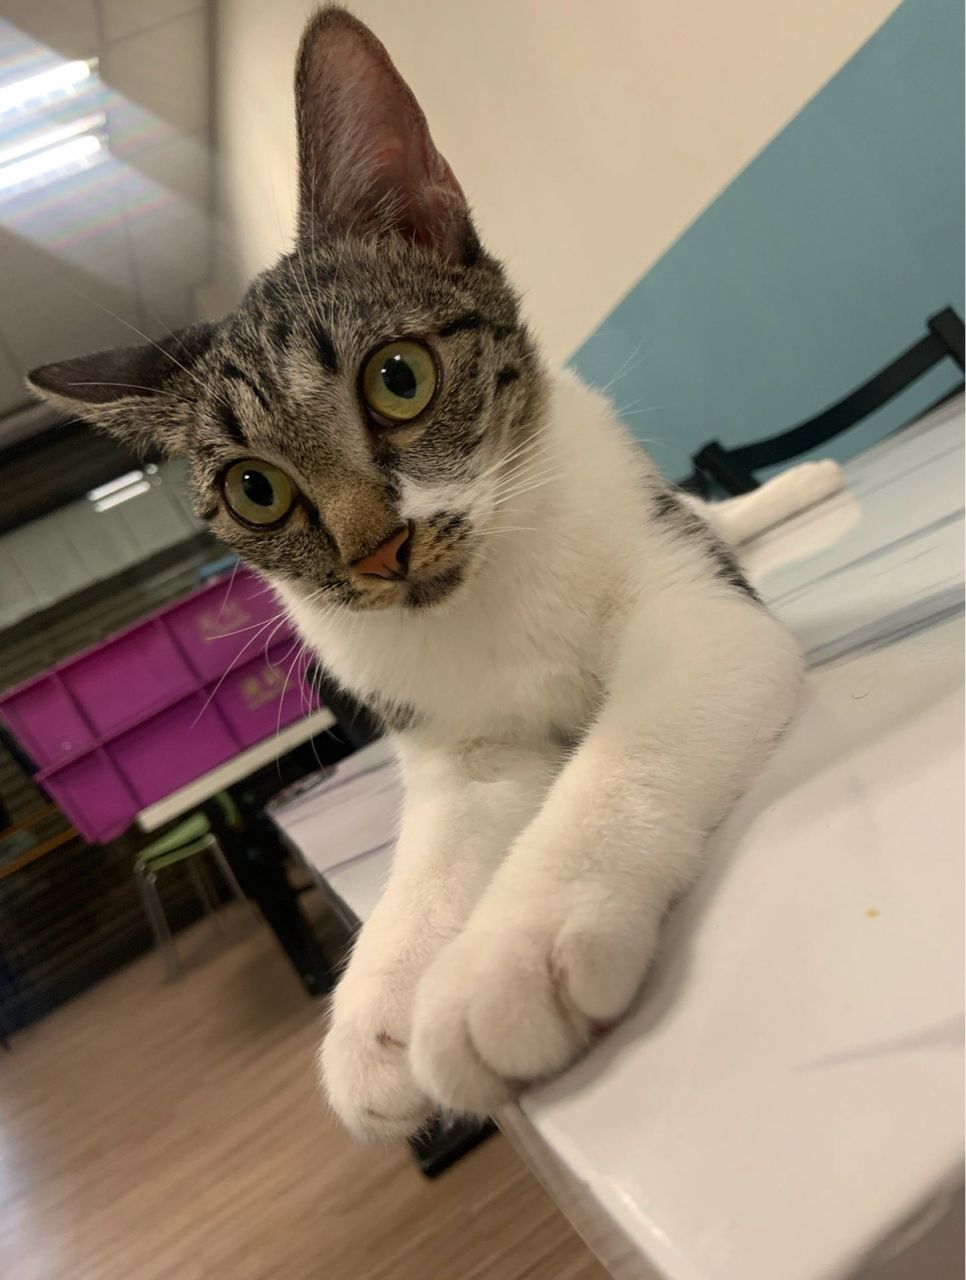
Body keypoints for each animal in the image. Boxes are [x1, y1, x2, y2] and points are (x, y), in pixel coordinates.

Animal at [27, 6, 842, 1143]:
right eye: (254, 489)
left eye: (399, 377)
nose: (376, 549)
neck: (486, 589)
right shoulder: (456, 740)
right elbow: (441, 841)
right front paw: (382, 1002)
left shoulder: (699, 615)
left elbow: (627, 749)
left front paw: (505, 959)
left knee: (709, 520)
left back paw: (798, 487)